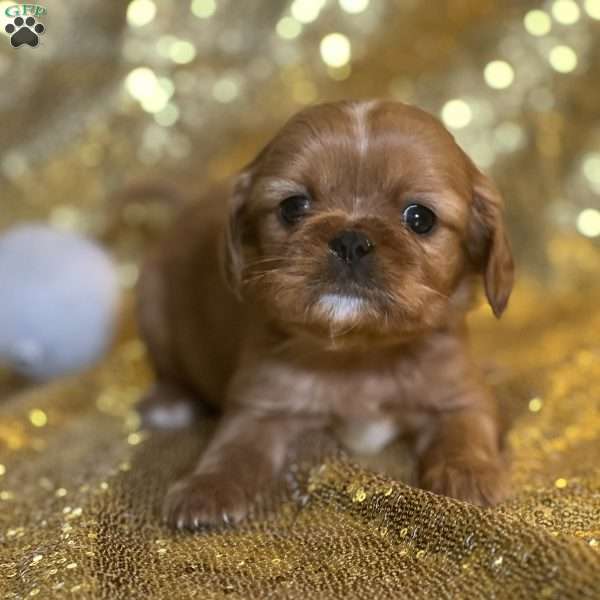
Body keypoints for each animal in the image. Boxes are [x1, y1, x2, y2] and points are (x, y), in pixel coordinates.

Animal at [138, 99, 512, 528]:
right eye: (293, 206)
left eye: (420, 218)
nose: (350, 240)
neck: (360, 354)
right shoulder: (260, 404)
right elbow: (233, 449)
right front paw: (206, 487)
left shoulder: (461, 394)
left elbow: (467, 429)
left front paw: (469, 472)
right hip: (151, 308)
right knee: (167, 368)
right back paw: (168, 402)